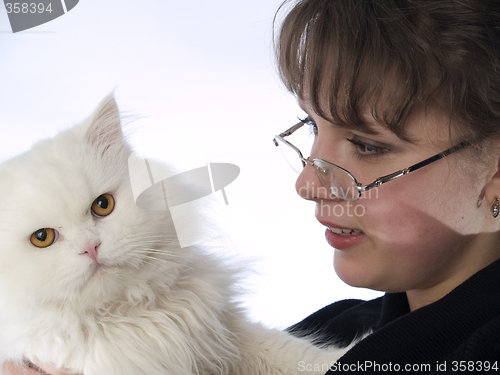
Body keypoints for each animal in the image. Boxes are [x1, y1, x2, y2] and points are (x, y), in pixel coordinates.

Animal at [0, 95, 348, 374]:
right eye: (42, 238)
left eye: (102, 205)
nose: (91, 247)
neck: (132, 315)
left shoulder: (228, 332)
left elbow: (301, 356)